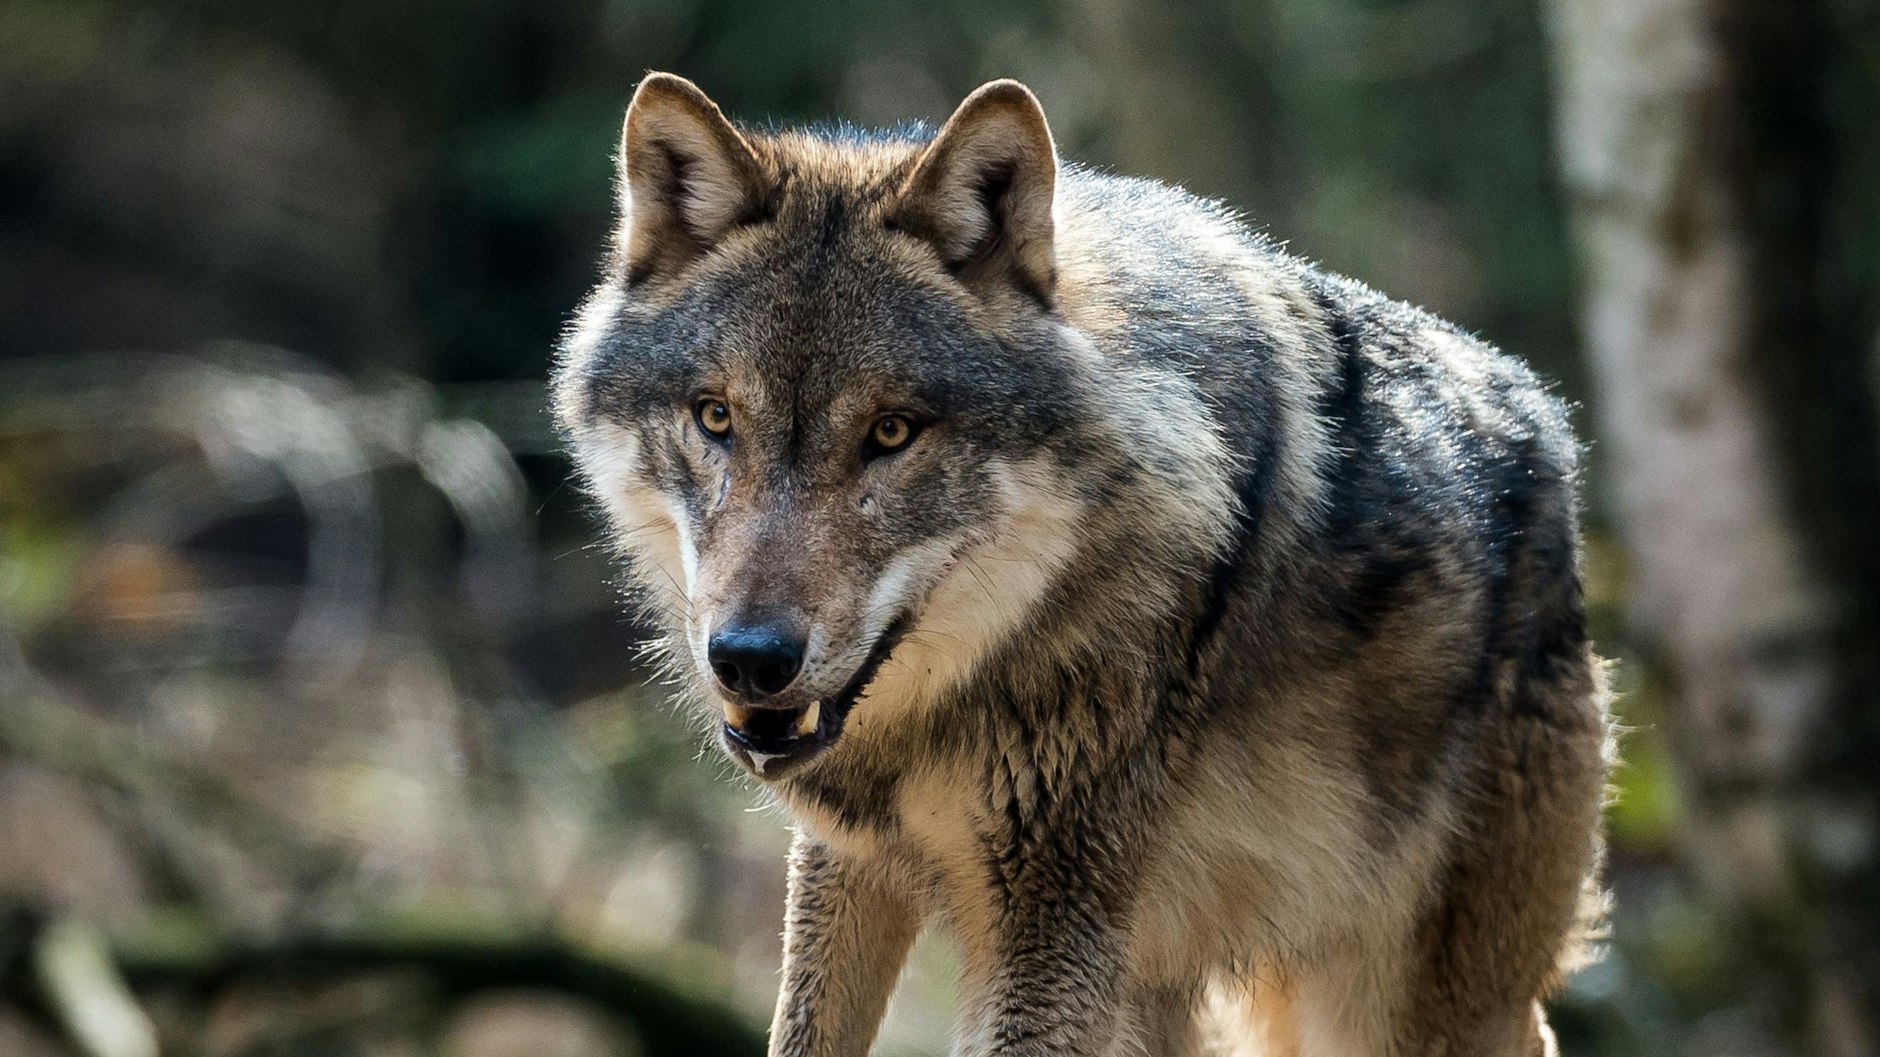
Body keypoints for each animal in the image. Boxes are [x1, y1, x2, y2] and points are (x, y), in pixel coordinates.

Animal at [552, 72, 1611, 1057]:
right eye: (716, 417)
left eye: (891, 432)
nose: (750, 658)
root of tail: (1548, 425)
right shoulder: (846, 863)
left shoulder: (1051, 915)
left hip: (1403, 1002)